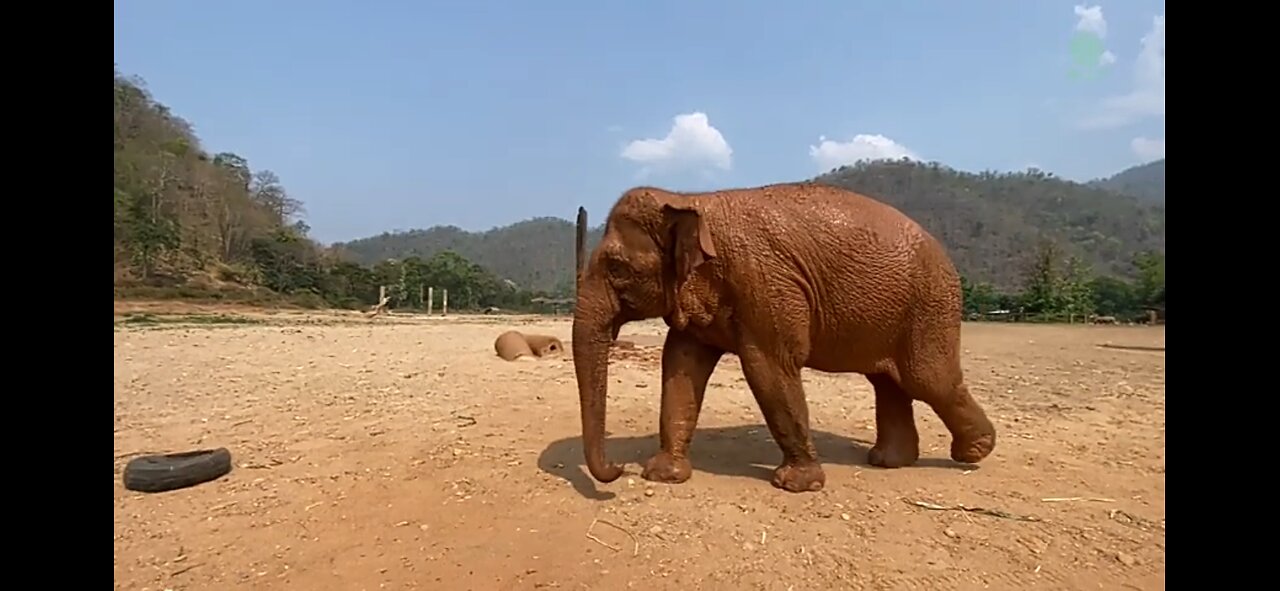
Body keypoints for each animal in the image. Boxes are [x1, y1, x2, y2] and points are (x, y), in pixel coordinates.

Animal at [571, 182, 996, 493]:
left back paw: (973, 453)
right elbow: (681, 365)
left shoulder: (765, 283)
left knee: (928, 379)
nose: (618, 467)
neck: (688, 198)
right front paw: (663, 475)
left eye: (616, 267)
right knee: (888, 382)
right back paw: (889, 461)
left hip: (930, 308)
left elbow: (769, 367)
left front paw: (796, 485)